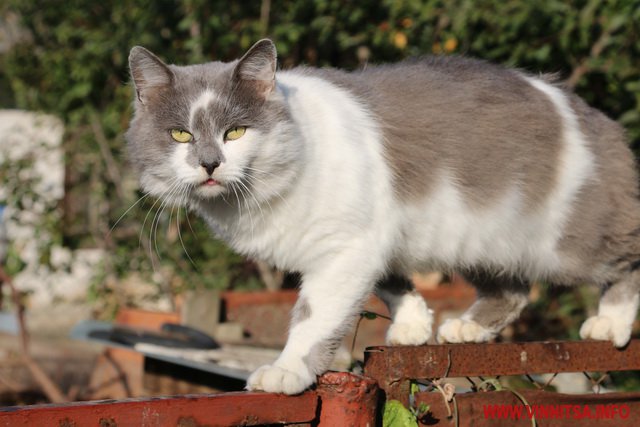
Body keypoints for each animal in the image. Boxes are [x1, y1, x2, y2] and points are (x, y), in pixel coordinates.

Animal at [125, 39, 640, 394]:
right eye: (179, 134)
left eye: (235, 131)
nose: (209, 164)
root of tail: (594, 115)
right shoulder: (378, 235)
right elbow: (392, 282)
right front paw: (414, 327)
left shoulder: (344, 249)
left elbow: (313, 320)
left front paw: (286, 372)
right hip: (477, 240)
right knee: (513, 291)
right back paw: (466, 328)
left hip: (569, 242)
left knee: (626, 259)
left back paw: (609, 324)